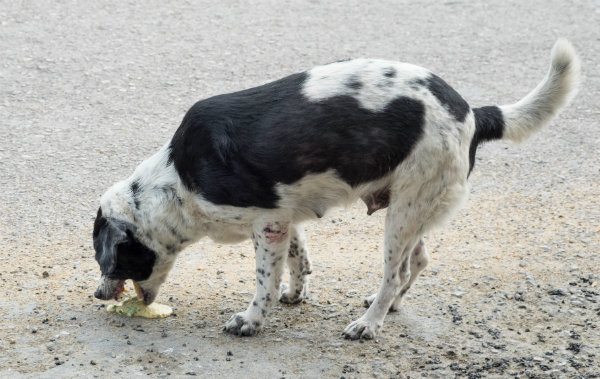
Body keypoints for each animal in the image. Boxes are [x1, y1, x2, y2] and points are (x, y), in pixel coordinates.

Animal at [95, 40, 580, 340]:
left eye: (110, 259)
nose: (98, 296)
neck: (176, 180)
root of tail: (473, 113)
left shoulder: (266, 224)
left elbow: (264, 281)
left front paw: (251, 319)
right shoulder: (284, 218)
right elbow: (299, 260)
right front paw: (295, 295)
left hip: (403, 214)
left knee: (395, 272)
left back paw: (368, 323)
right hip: (415, 207)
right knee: (418, 260)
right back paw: (390, 307)